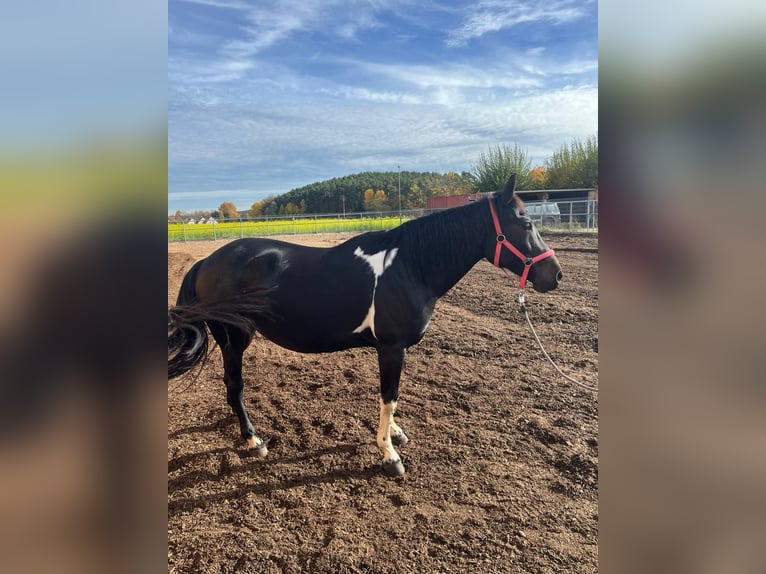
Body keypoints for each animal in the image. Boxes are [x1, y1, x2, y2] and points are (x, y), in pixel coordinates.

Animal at [168, 174, 562, 477]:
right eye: (526, 223)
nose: (555, 274)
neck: (410, 267)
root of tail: (204, 262)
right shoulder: (391, 347)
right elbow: (389, 397)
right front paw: (389, 454)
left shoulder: (392, 350)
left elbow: (391, 398)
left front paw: (396, 434)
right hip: (235, 340)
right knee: (235, 387)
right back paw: (254, 440)